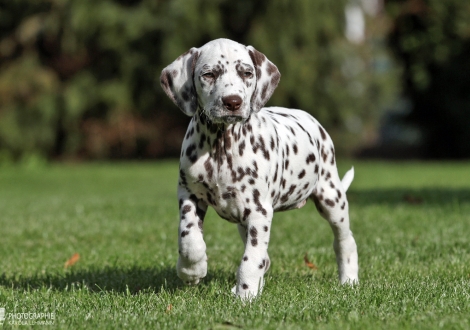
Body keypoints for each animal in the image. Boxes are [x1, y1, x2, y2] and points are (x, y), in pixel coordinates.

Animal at [160, 38, 358, 300]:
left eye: (247, 73)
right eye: (209, 74)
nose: (232, 102)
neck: (221, 145)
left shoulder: (259, 212)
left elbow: (251, 259)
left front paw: (245, 296)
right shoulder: (189, 194)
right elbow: (189, 239)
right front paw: (192, 270)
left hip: (331, 198)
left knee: (344, 240)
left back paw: (349, 280)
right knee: (266, 257)